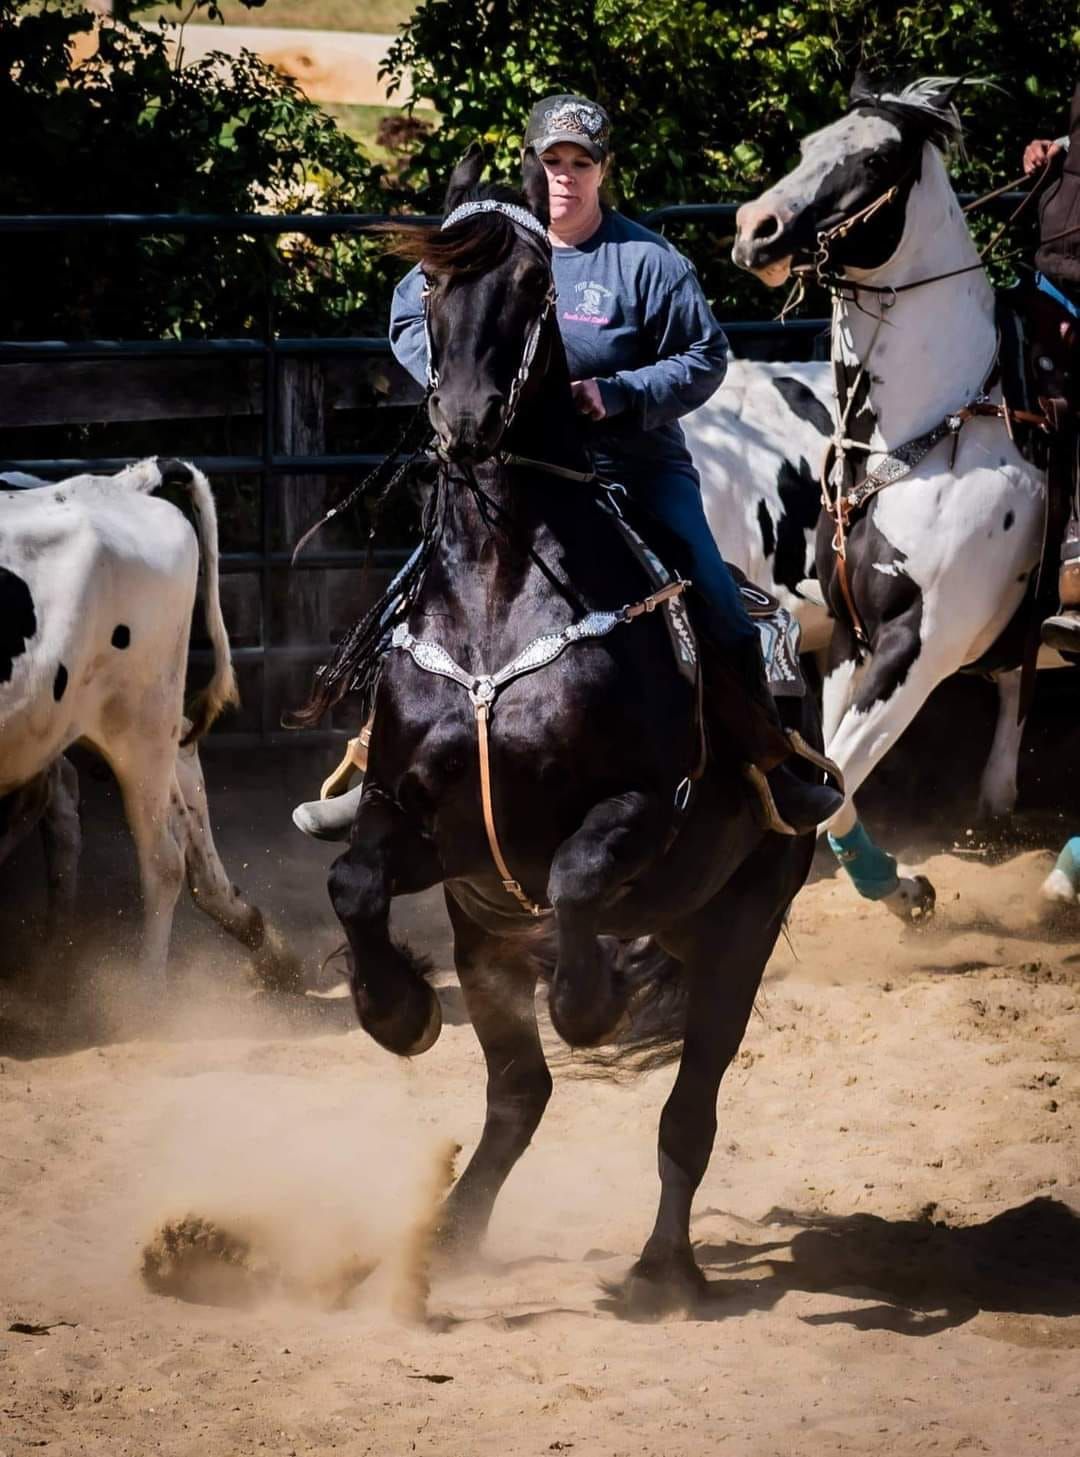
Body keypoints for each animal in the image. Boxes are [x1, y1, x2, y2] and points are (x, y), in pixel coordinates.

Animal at [731, 76, 1072, 909]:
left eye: (876, 158)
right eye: (807, 145)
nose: (756, 228)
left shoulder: (921, 645)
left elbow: (835, 777)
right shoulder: (849, 636)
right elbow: (833, 775)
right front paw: (899, 885)